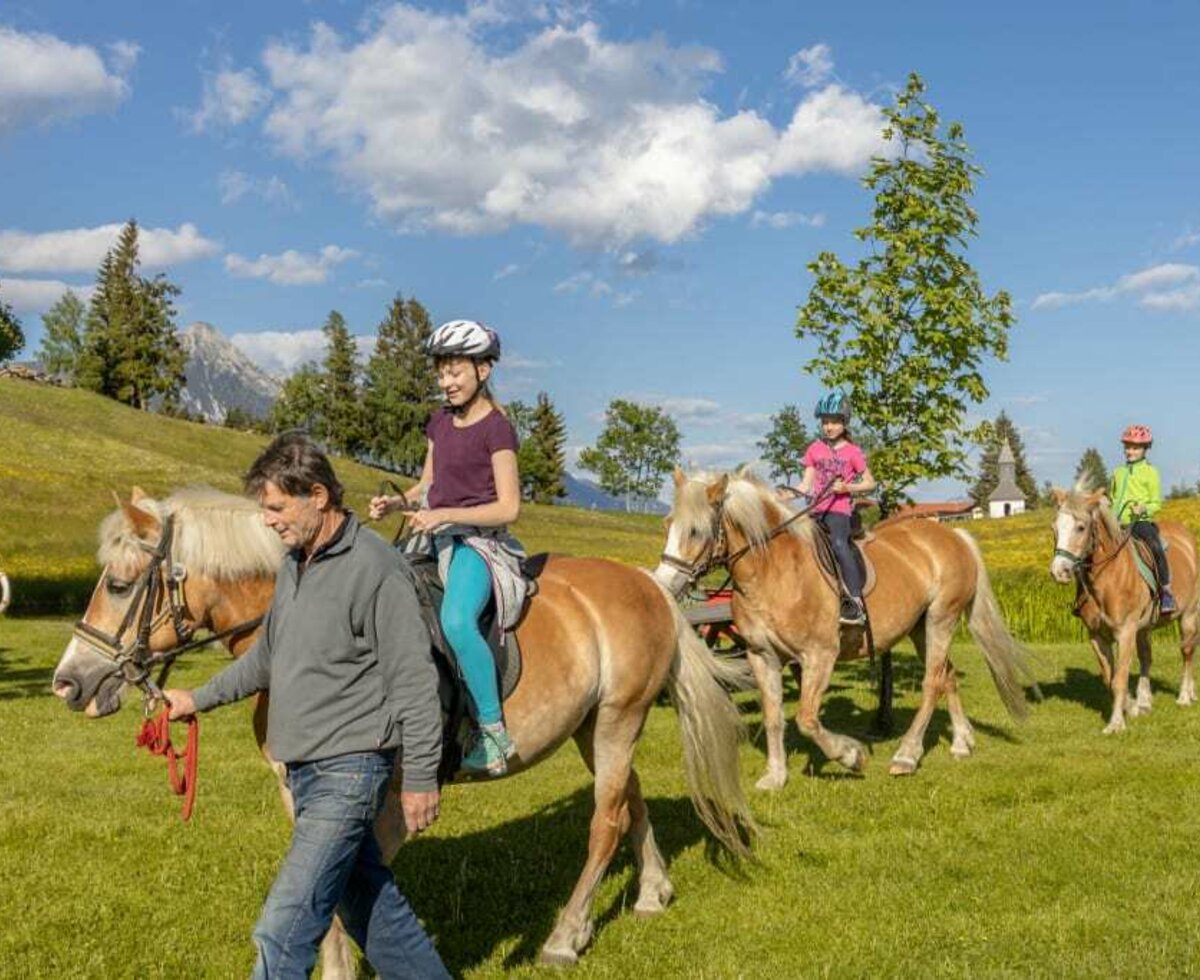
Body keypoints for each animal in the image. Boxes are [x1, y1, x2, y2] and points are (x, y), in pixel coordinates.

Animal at [51, 489, 753, 969]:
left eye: (119, 585)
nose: (68, 682)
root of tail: (646, 583)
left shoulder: (376, 797)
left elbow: (340, 896)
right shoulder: (302, 792)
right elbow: (321, 891)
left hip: (616, 719)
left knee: (605, 820)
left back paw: (563, 936)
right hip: (593, 727)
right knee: (630, 798)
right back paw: (652, 891)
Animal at [652, 467, 1036, 786]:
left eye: (696, 530)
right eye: (668, 525)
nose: (666, 585)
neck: (775, 572)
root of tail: (954, 536)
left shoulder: (819, 656)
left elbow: (807, 718)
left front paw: (850, 756)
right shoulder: (762, 656)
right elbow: (774, 716)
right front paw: (775, 777)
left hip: (942, 619)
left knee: (931, 683)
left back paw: (906, 755)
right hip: (920, 628)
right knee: (947, 675)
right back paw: (961, 742)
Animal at [1046, 484, 1195, 729]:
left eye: (1081, 527)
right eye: (1054, 528)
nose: (1059, 572)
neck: (1108, 576)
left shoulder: (1125, 632)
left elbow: (1120, 678)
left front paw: (1116, 724)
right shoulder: (1097, 635)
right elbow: (1110, 678)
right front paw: (1132, 707)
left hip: (1189, 615)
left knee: (1187, 651)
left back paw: (1185, 696)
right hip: (1144, 627)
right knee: (1146, 658)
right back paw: (1145, 701)